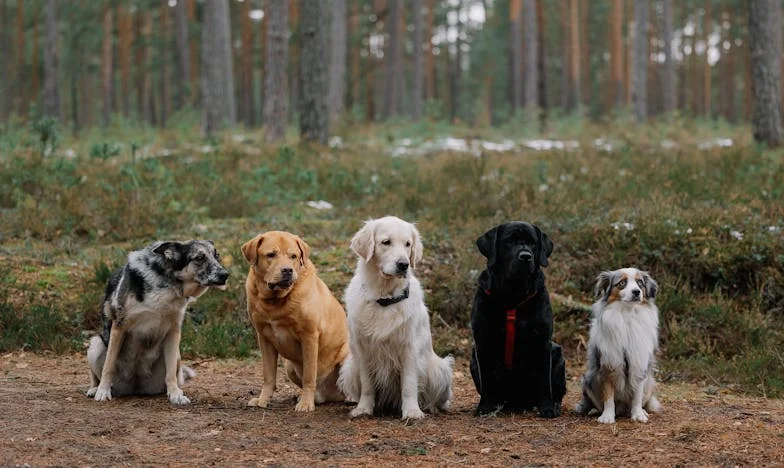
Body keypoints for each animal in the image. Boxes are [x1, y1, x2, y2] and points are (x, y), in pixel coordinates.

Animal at [240, 230, 348, 410]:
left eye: (293, 256)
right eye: (271, 255)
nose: (287, 270)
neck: (276, 301)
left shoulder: (309, 336)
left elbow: (309, 376)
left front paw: (305, 404)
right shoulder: (264, 337)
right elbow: (268, 376)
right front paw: (263, 400)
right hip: (289, 366)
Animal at [336, 217, 454, 420]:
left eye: (408, 244)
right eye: (386, 242)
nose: (404, 264)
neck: (384, 298)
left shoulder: (409, 348)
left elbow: (408, 384)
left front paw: (412, 411)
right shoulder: (363, 349)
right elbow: (367, 384)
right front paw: (364, 408)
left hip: (440, 369)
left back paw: (431, 407)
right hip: (350, 367)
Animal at [468, 222, 568, 416]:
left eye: (533, 243)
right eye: (509, 242)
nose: (525, 256)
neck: (513, 294)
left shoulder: (543, 342)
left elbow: (545, 382)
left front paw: (547, 408)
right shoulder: (482, 342)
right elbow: (487, 381)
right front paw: (484, 407)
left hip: (557, 354)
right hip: (473, 360)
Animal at [576, 266, 660, 424]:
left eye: (640, 283)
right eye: (622, 283)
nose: (636, 292)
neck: (627, 315)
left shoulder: (638, 364)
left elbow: (637, 395)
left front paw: (638, 414)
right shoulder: (609, 364)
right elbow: (608, 396)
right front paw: (607, 417)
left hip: (650, 382)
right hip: (588, 379)